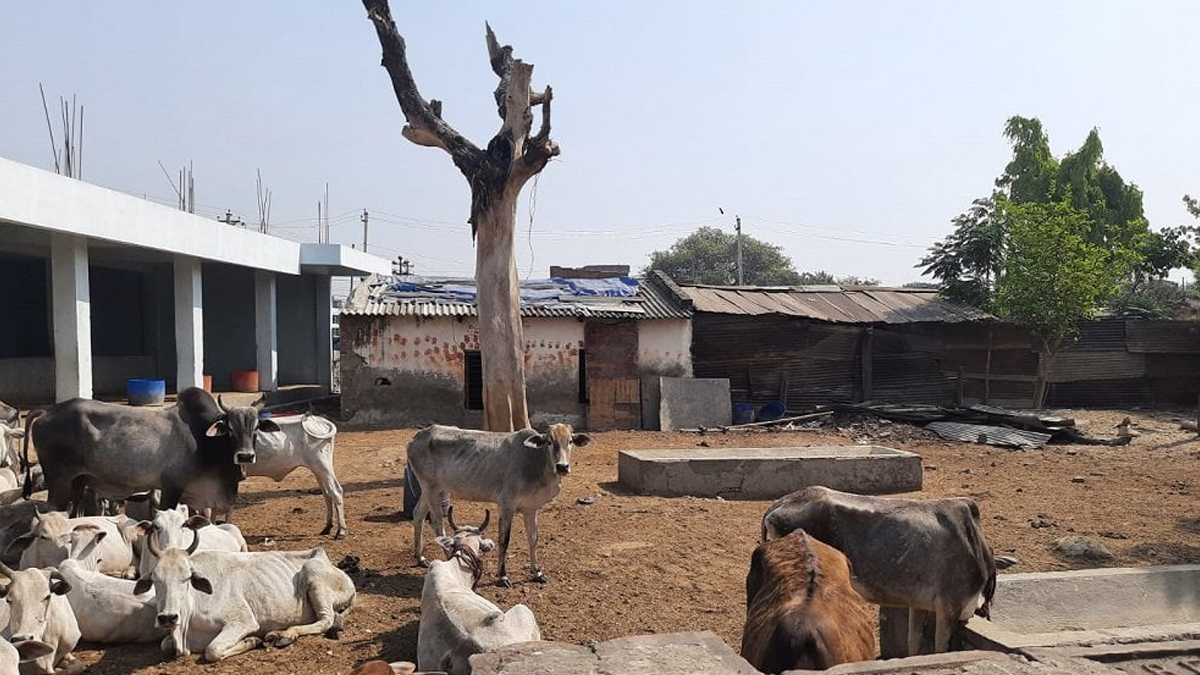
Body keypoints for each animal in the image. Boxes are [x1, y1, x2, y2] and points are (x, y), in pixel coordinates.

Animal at [27, 386, 274, 511]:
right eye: (230, 428)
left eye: (256, 428)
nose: (245, 456)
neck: (203, 439)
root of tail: (47, 412)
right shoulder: (172, 487)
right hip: (58, 482)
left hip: (77, 483)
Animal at [134, 530, 355, 658]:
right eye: (155, 579)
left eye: (187, 578)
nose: (168, 618)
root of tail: (326, 560)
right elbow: (164, 645)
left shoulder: (243, 621)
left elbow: (212, 651)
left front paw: (252, 641)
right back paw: (275, 634)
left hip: (314, 575)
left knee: (325, 620)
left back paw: (286, 635)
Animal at [405, 420, 588, 583]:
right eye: (549, 442)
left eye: (570, 441)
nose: (562, 467)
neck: (536, 462)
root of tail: (418, 437)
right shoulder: (507, 506)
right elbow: (504, 540)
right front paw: (502, 576)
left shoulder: (531, 508)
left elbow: (533, 538)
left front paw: (537, 573)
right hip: (431, 488)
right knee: (438, 525)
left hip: (432, 489)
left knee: (418, 514)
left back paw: (420, 557)